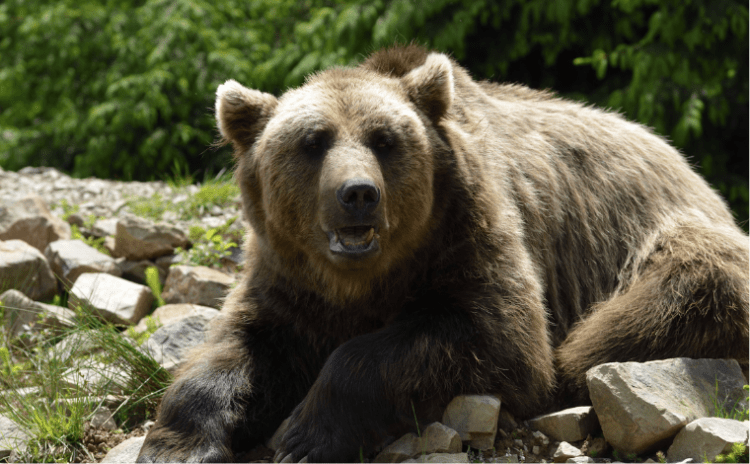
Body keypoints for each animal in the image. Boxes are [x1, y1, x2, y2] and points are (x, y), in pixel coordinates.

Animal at [137, 44, 750, 464]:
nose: (358, 193)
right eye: (312, 142)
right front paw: (179, 442)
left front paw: (304, 435)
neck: (364, 280)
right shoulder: (288, 279)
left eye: (384, 140)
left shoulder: (471, 240)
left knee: (681, 295)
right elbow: (236, 344)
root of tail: (685, 161)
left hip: (660, 238)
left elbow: (493, 336)